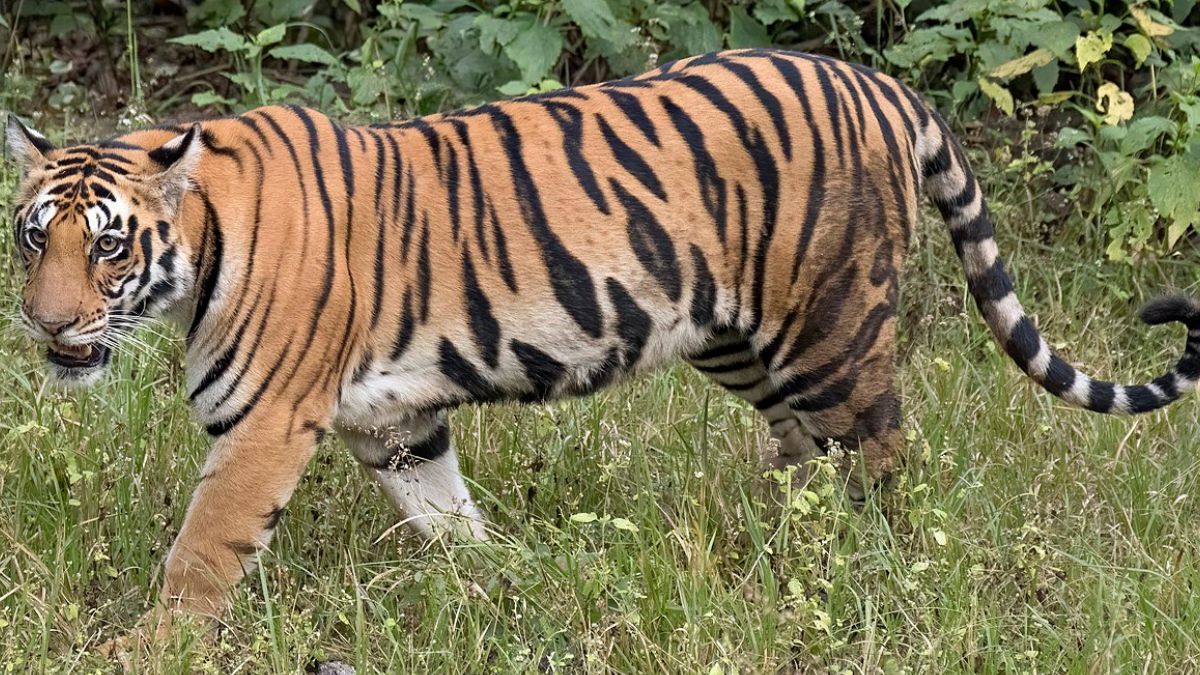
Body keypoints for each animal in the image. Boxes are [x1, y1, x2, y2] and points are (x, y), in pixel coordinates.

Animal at [7, 48, 1199, 649]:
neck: (198, 252)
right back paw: (770, 550)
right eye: (32, 236)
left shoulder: (263, 424)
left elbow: (202, 552)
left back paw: (872, 579)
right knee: (803, 455)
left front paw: (147, 652)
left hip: (832, 327)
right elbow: (447, 514)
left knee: (881, 460)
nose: (47, 326)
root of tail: (880, 81)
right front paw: (499, 583)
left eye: (107, 246)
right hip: (737, 338)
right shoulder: (396, 421)